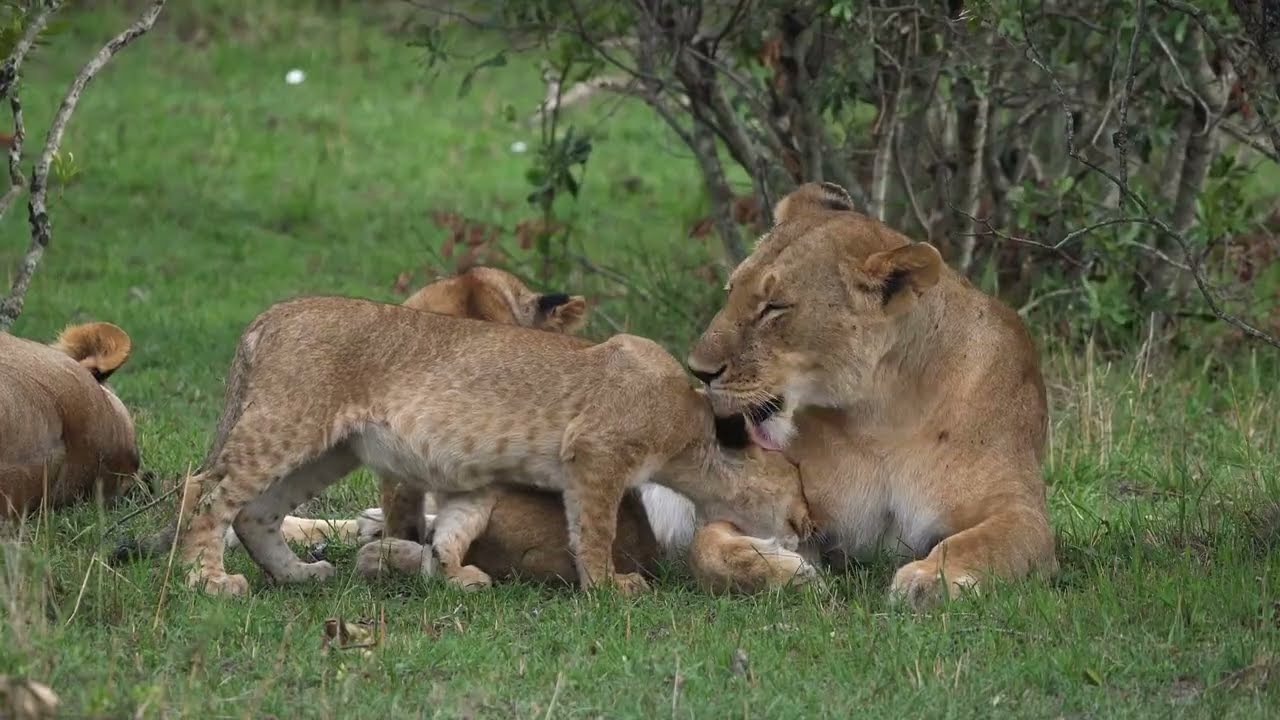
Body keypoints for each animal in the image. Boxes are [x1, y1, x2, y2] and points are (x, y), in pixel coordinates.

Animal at [169, 294, 812, 597]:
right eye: (799, 486)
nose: (809, 525)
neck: (692, 423)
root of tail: (269, 316)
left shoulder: (538, 475)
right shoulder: (597, 455)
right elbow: (595, 531)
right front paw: (610, 587)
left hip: (331, 450)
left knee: (255, 512)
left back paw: (300, 575)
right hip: (288, 424)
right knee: (205, 491)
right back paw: (208, 581)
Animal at [684, 181, 1058, 609]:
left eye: (774, 308)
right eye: (731, 290)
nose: (698, 370)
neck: (881, 416)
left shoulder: (1020, 509)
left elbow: (979, 543)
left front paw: (927, 581)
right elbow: (704, 546)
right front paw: (783, 572)